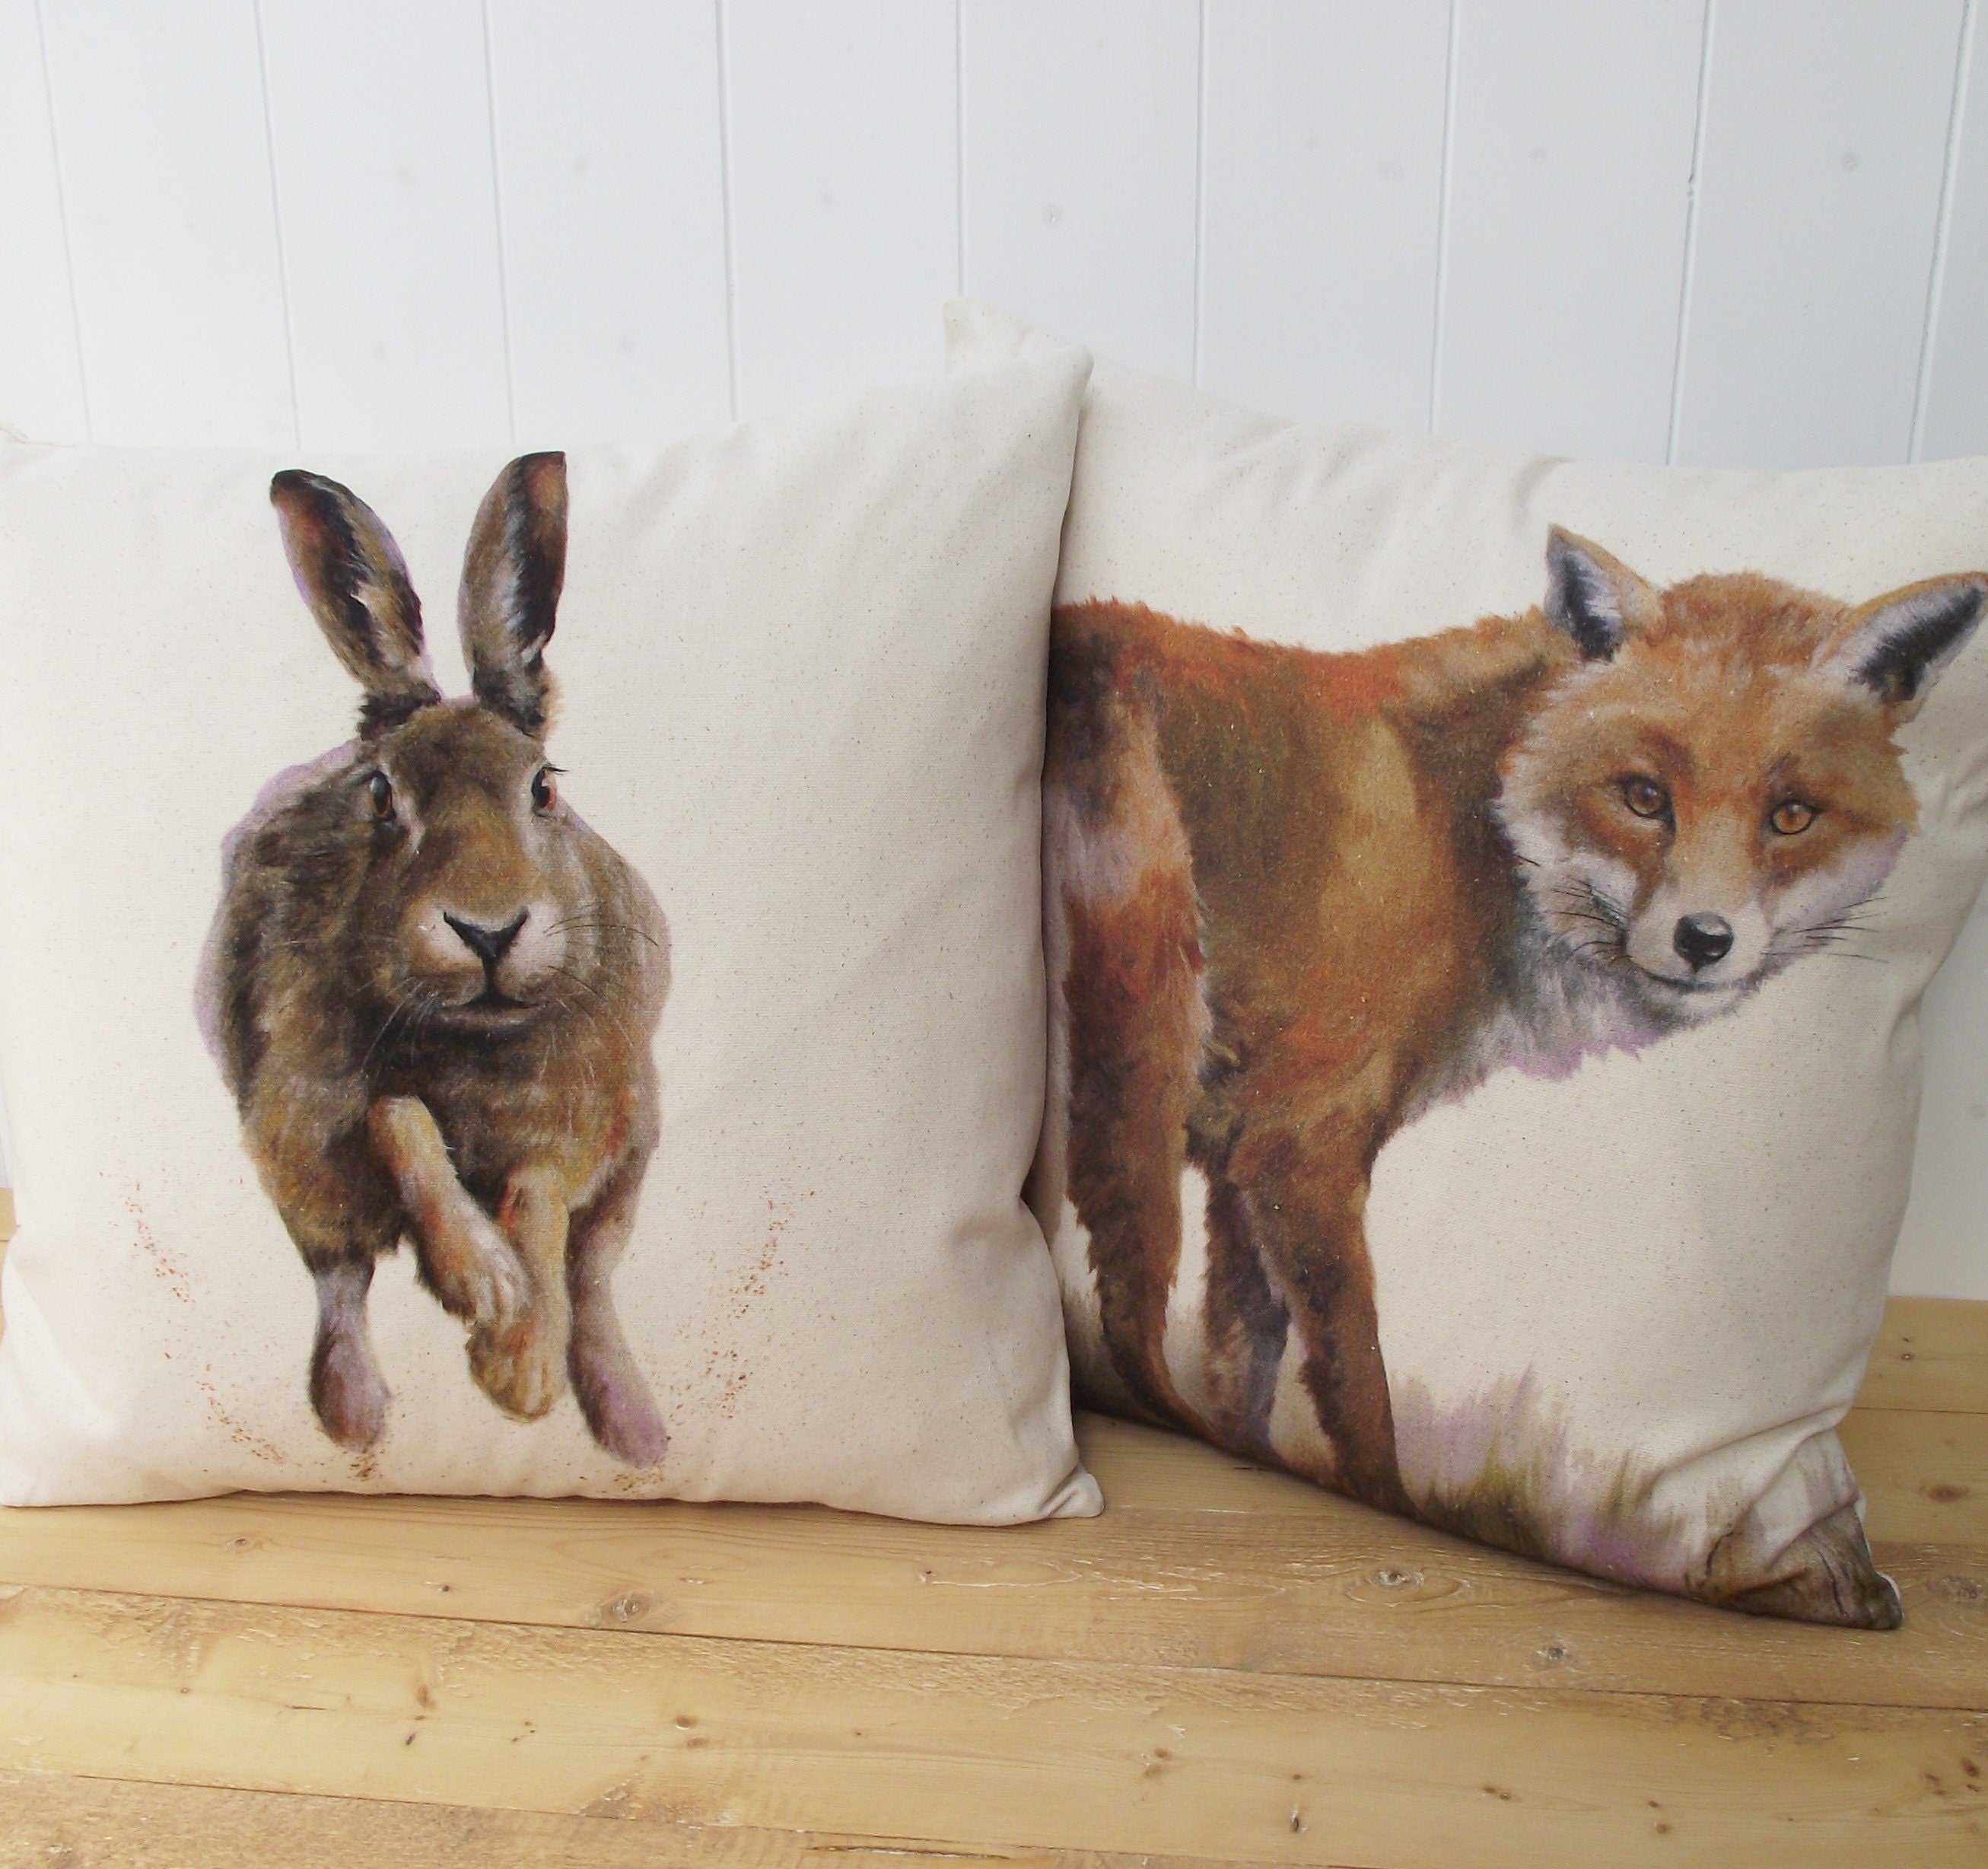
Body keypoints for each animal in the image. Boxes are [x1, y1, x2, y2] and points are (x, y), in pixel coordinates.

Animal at [203, 453, 671, 1467]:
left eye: (544, 788)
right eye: (381, 794)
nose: (488, 931)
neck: (473, 1038)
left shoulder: (577, 1117)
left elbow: (540, 1200)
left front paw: (519, 1365)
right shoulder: (316, 1101)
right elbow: (400, 1118)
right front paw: (488, 1287)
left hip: (633, 1161)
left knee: (596, 1278)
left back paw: (632, 1424)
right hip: (299, 1172)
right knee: (339, 1278)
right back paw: (353, 1413)